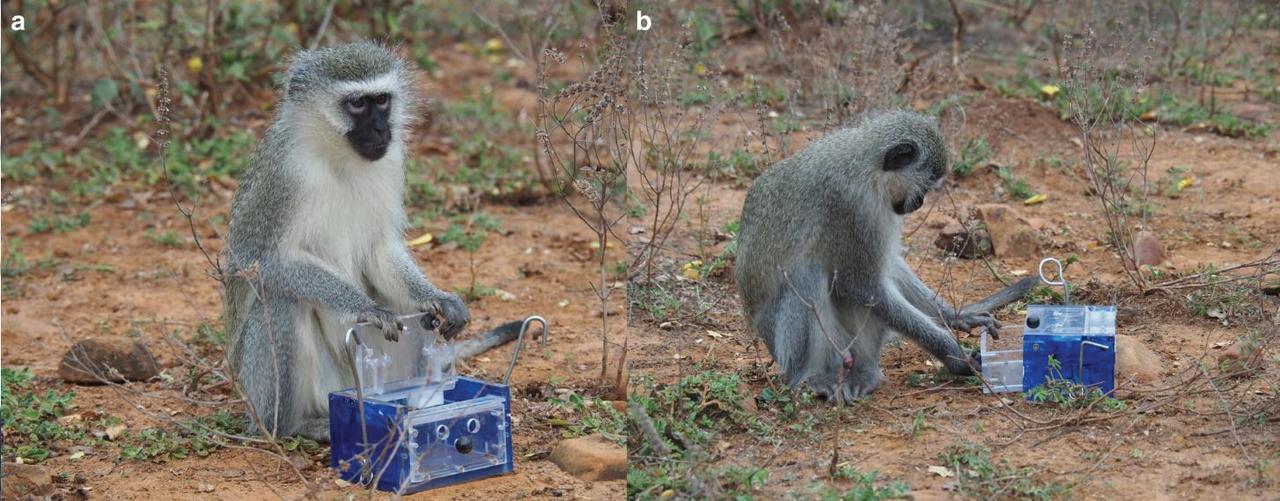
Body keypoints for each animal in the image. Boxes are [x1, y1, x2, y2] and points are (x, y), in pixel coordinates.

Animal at [225, 44, 519, 443]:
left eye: (381, 100)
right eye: (357, 105)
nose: (382, 129)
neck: (338, 156)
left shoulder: (391, 161)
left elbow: (380, 250)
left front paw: (438, 297)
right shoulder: (282, 177)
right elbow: (258, 262)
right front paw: (365, 307)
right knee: (282, 300)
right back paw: (292, 427)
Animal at [737, 110, 1034, 404]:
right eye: (926, 186)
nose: (920, 203)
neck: (865, 165)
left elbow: (888, 268)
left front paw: (957, 316)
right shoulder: (853, 206)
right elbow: (865, 288)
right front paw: (954, 355)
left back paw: (865, 373)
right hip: (788, 346)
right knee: (807, 275)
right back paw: (811, 377)